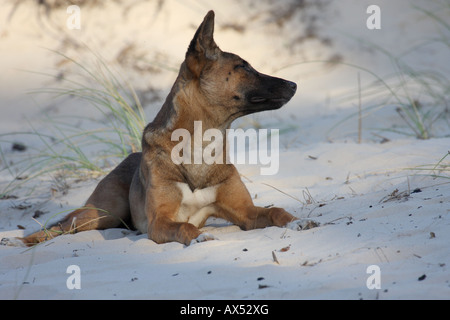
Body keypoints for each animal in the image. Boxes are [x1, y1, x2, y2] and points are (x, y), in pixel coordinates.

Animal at [7, 9, 316, 245]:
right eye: (243, 67)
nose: (294, 85)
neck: (202, 143)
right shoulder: (160, 221)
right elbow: (183, 226)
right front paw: (198, 236)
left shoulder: (245, 211)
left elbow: (275, 211)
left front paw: (296, 222)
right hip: (103, 212)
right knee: (61, 226)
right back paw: (18, 241)